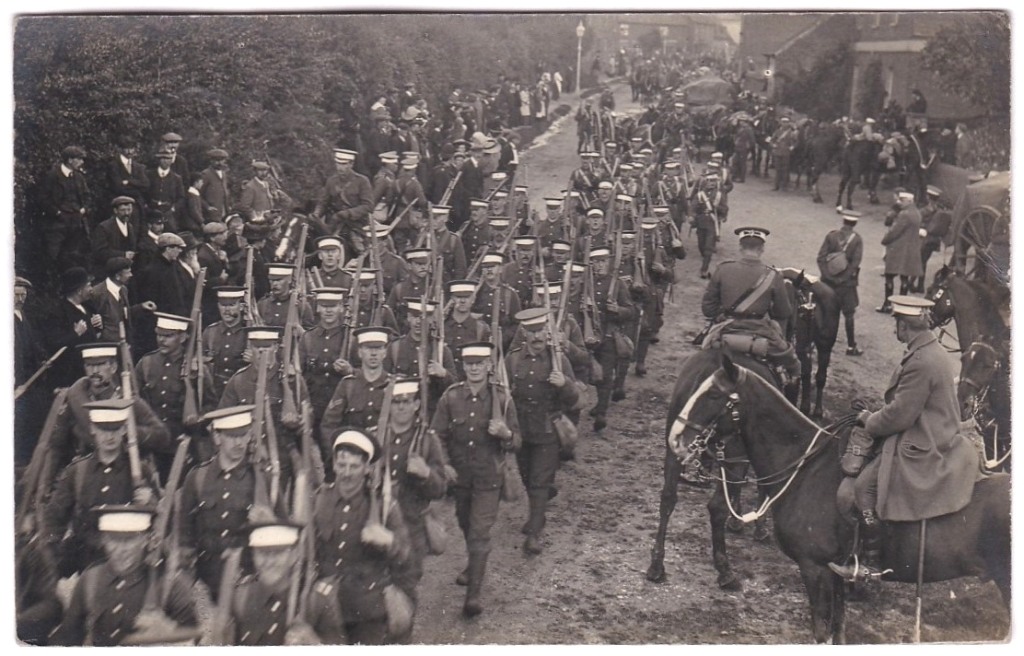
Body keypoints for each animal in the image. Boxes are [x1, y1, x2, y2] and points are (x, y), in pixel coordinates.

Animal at [647, 350, 774, 589]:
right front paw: (756, 526)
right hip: (733, 458)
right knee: (716, 508)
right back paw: (725, 571)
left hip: (674, 447)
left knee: (667, 499)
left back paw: (656, 565)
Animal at [667, 356, 1011, 642]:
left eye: (713, 396)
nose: (675, 439)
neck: (805, 468)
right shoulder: (835, 572)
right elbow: (839, 630)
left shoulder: (814, 568)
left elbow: (822, 632)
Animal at [782, 268, 839, 417]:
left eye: (792, 300)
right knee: (806, 373)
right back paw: (805, 406)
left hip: (824, 347)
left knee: (820, 377)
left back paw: (817, 410)